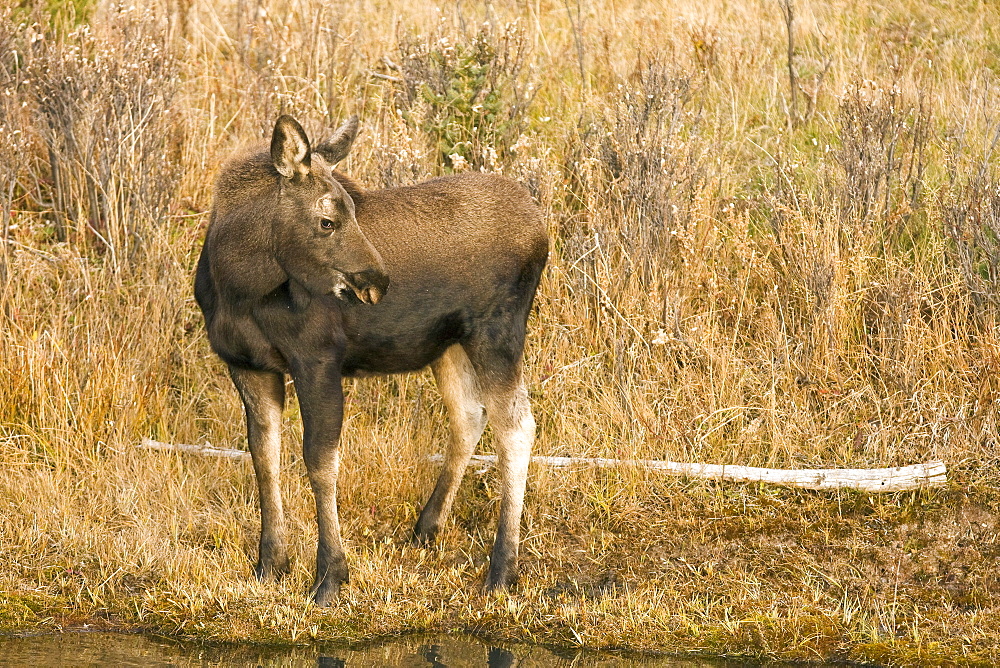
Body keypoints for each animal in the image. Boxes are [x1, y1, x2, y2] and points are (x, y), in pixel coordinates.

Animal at [194, 116, 548, 604]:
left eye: (354, 209)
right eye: (327, 220)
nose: (378, 281)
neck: (238, 284)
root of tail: (542, 228)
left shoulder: (318, 357)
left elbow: (320, 461)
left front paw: (329, 576)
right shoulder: (248, 365)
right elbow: (264, 457)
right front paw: (270, 565)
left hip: (496, 333)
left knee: (516, 426)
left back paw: (501, 570)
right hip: (449, 345)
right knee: (469, 415)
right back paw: (426, 529)